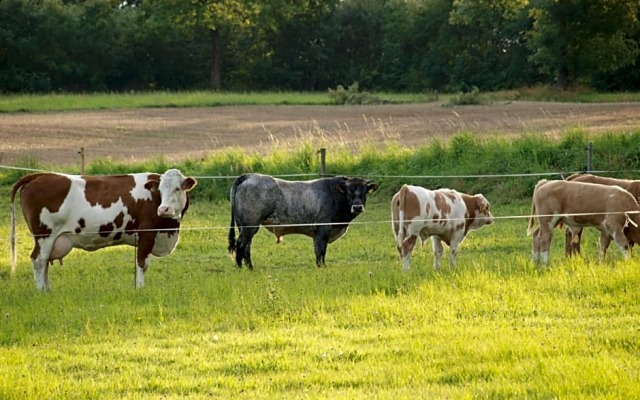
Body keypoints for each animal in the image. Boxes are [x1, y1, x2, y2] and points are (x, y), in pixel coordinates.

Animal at [9, 169, 195, 290]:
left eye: (177, 188)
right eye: (161, 190)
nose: (163, 209)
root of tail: (40, 175)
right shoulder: (146, 234)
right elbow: (142, 264)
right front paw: (140, 288)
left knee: (45, 262)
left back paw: (48, 290)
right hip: (44, 235)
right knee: (39, 261)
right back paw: (41, 291)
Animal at [229, 173, 380, 268]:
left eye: (364, 192)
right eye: (348, 192)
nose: (357, 207)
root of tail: (249, 176)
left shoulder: (316, 234)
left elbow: (317, 251)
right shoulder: (323, 230)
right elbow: (321, 251)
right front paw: (322, 267)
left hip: (244, 226)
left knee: (247, 246)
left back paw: (250, 267)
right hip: (250, 226)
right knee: (241, 244)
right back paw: (240, 267)